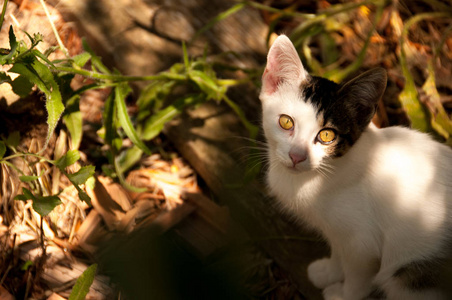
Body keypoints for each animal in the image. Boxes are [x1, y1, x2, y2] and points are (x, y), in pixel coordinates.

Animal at [260, 34, 452, 298]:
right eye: (286, 122)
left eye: (327, 135)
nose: (297, 156)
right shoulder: (339, 235)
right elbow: (338, 251)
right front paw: (328, 271)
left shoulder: (362, 246)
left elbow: (358, 277)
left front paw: (342, 294)